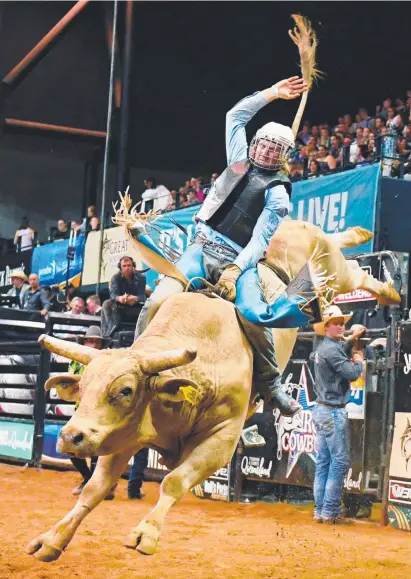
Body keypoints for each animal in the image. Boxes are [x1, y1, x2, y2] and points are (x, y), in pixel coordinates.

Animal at [25, 222, 400, 560]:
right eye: (83, 388)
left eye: (126, 390)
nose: (70, 437)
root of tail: (300, 225)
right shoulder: (127, 434)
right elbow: (94, 488)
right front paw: (51, 539)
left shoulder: (221, 439)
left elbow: (173, 482)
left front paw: (146, 534)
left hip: (333, 271)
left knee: (357, 273)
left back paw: (390, 289)